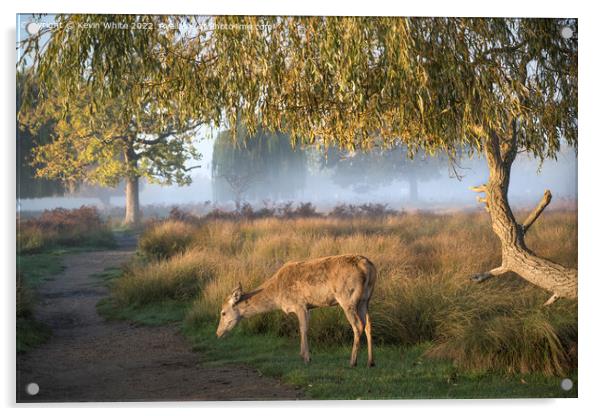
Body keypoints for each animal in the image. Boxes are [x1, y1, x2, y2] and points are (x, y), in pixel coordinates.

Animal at [214, 254, 376, 368]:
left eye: (223, 312)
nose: (217, 333)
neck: (278, 296)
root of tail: (369, 268)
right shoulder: (309, 307)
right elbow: (304, 328)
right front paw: (303, 355)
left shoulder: (300, 304)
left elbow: (303, 328)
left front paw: (306, 358)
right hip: (365, 299)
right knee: (368, 324)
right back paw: (370, 362)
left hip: (347, 298)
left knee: (358, 325)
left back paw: (352, 362)